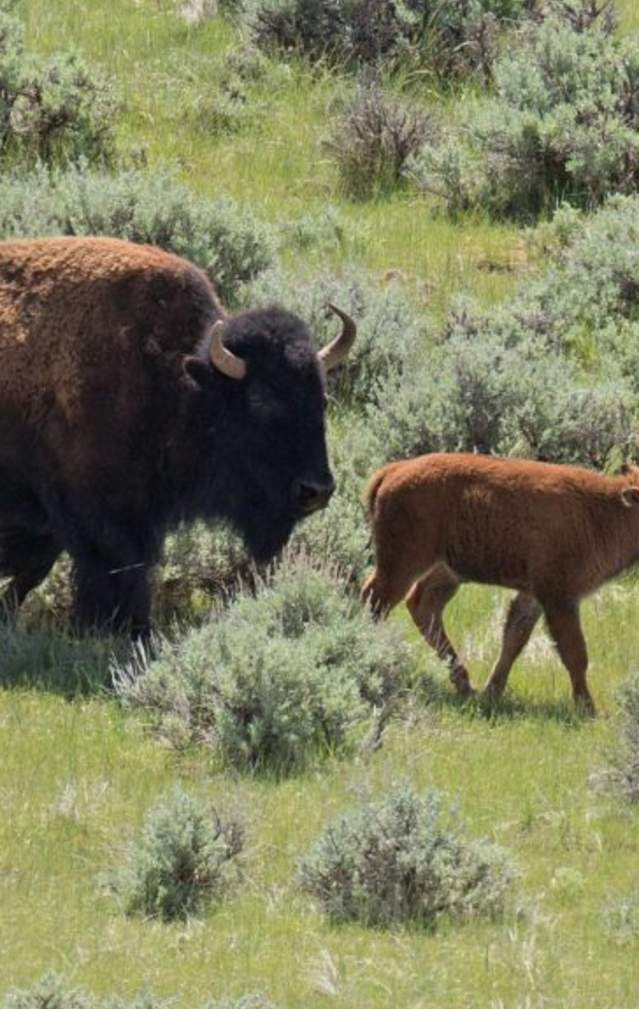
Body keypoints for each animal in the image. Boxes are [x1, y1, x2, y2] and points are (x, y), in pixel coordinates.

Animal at [0, 235, 356, 639]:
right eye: (261, 400)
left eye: (321, 399)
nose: (317, 490)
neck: (179, 381)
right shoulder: (95, 514)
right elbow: (108, 570)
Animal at [361, 452, 639, 714]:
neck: (606, 510)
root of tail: (391, 471)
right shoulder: (559, 596)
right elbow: (574, 652)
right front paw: (588, 709)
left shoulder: (534, 594)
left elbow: (514, 638)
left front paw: (492, 692)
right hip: (402, 566)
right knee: (376, 600)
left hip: (446, 572)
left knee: (422, 606)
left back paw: (465, 685)